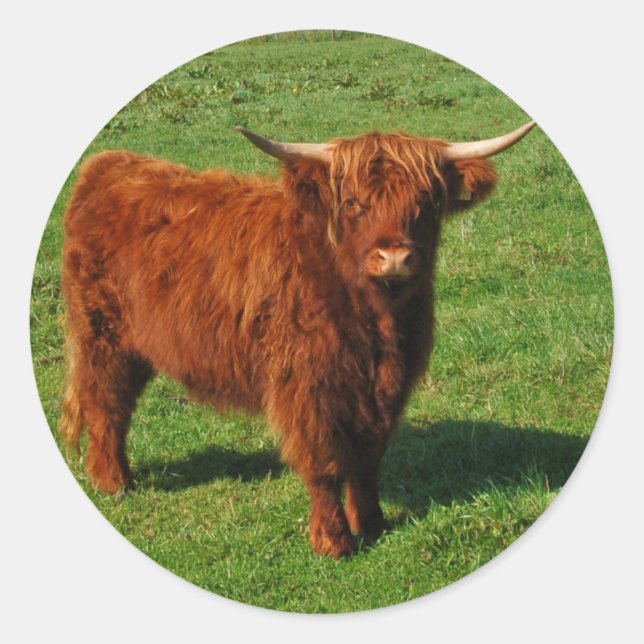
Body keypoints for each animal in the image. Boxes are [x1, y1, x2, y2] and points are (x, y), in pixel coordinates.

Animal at [59, 121, 536, 557]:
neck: (375, 326)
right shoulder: (307, 386)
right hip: (103, 334)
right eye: (353, 203)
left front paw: (374, 524)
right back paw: (114, 482)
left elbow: (368, 458)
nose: (395, 257)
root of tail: (109, 165)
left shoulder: (388, 386)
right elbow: (325, 463)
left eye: (425, 201)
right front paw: (333, 541)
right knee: (106, 405)